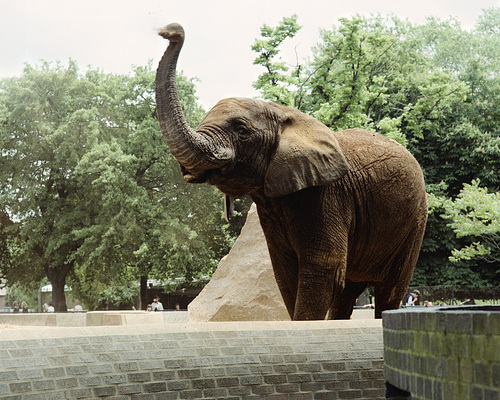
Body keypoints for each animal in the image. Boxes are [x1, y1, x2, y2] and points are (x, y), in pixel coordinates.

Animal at [155, 23, 426, 320]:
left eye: (241, 131)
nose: (170, 31)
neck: (284, 113)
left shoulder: (326, 195)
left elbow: (324, 267)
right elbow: (285, 274)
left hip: (415, 222)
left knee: (390, 288)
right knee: (348, 289)